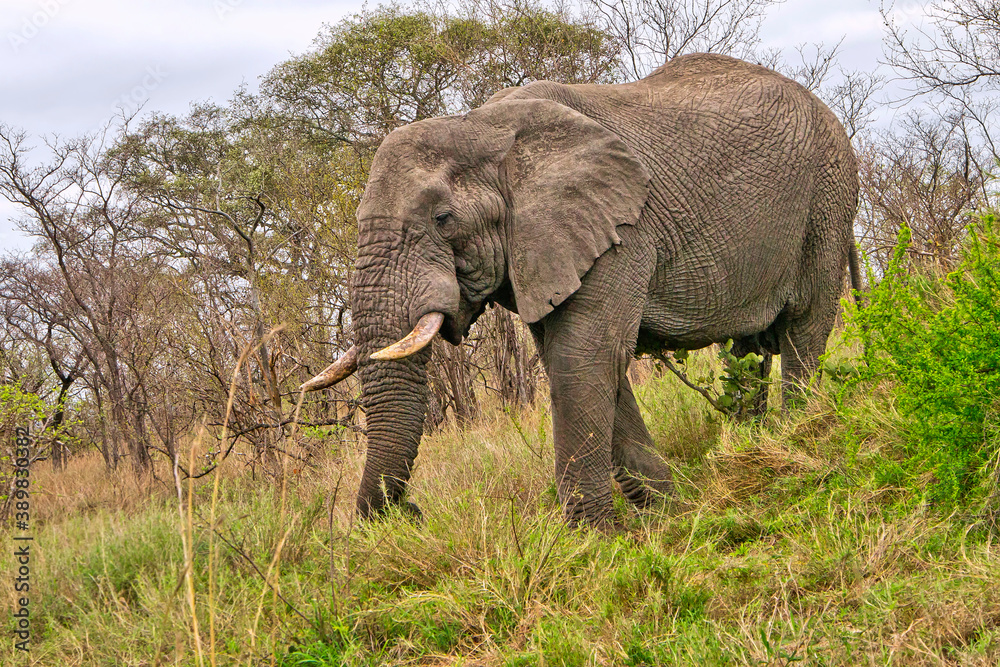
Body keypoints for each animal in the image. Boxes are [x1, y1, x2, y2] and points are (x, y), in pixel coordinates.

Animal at [302, 53, 861, 529]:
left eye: (443, 219)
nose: (411, 511)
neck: (481, 127)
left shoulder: (621, 229)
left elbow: (583, 358)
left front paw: (596, 541)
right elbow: (577, 362)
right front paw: (665, 512)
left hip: (828, 197)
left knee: (804, 327)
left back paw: (797, 435)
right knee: (750, 347)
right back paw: (754, 438)